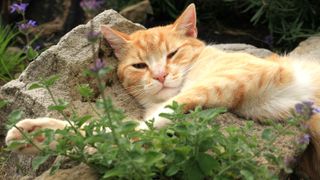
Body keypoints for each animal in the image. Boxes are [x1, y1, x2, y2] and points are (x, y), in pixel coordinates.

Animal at [4, 3, 320, 179]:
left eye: (172, 54)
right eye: (140, 65)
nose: (160, 75)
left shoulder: (236, 77)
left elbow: (135, 128)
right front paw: (41, 136)